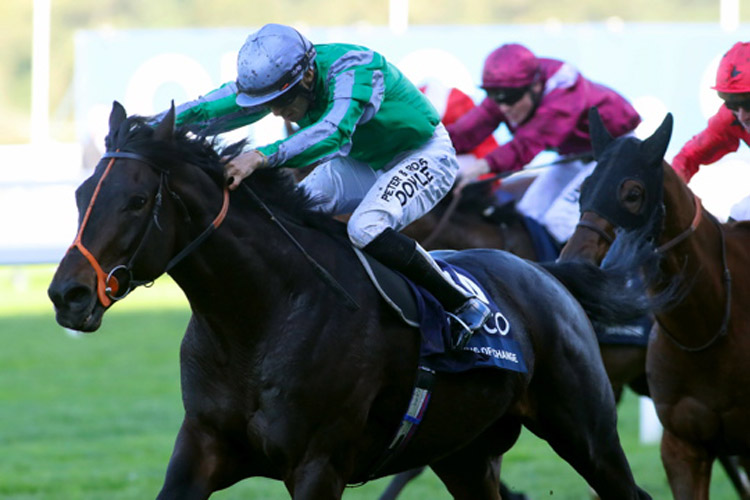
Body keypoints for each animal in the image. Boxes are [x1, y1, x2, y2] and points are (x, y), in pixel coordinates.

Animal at [48, 102, 664, 500]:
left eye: (136, 201)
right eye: (80, 194)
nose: (67, 295)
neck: (257, 320)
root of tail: (545, 272)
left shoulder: (318, 465)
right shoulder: (201, 448)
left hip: (585, 432)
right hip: (464, 453)